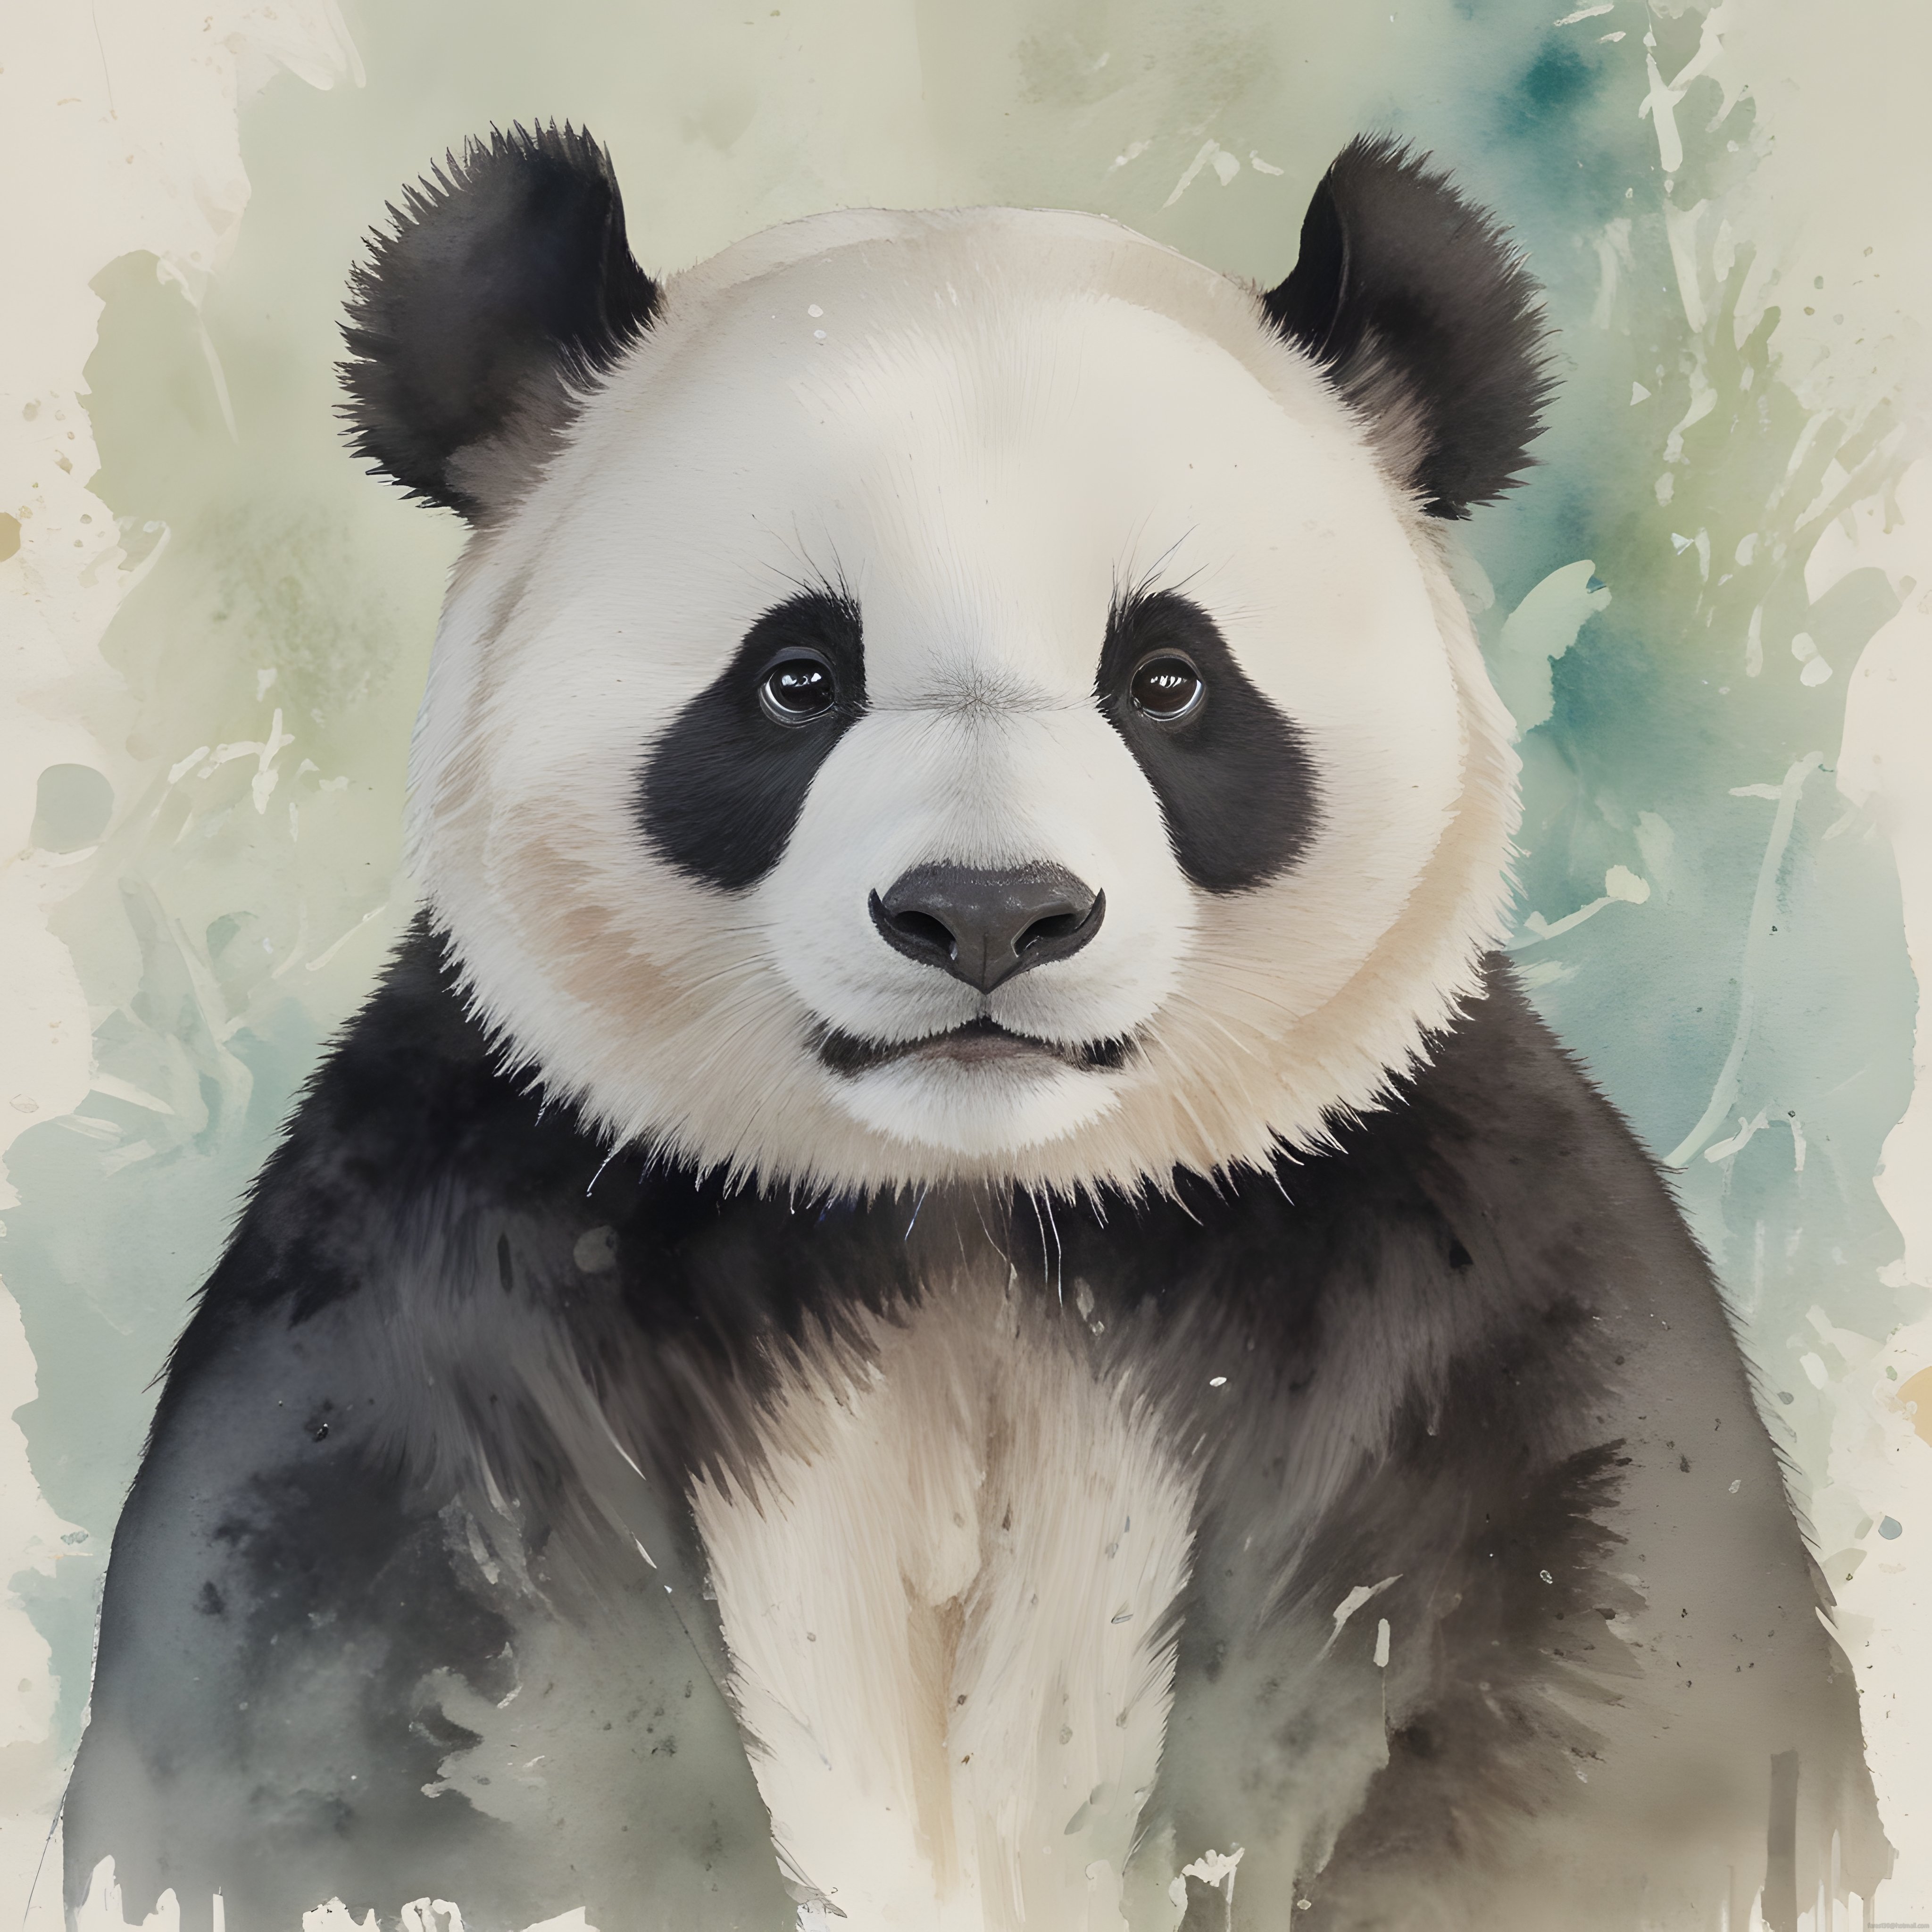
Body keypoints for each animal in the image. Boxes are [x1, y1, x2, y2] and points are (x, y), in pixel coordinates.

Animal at [65, 125, 1887, 1932]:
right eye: (796, 677)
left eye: (1167, 679)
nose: (990, 913)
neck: (969, 1215)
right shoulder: (447, 1244)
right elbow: (366, 1683)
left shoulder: (1442, 1238)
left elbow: (1600, 1673)